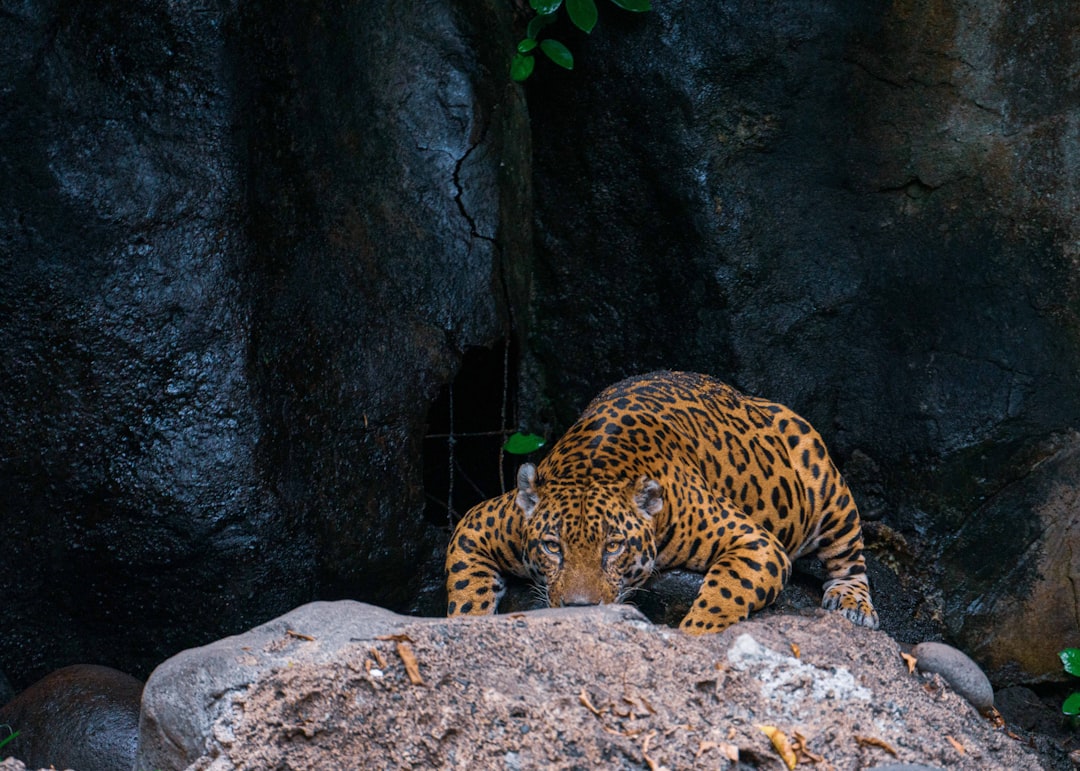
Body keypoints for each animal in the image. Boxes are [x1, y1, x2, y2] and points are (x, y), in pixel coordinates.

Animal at [444, 371, 876, 630]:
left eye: (613, 547)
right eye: (553, 547)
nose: (579, 610)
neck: (593, 463)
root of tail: (749, 397)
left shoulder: (757, 543)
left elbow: (725, 592)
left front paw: (694, 633)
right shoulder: (477, 523)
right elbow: (464, 593)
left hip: (824, 482)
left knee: (850, 556)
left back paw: (852, 603)